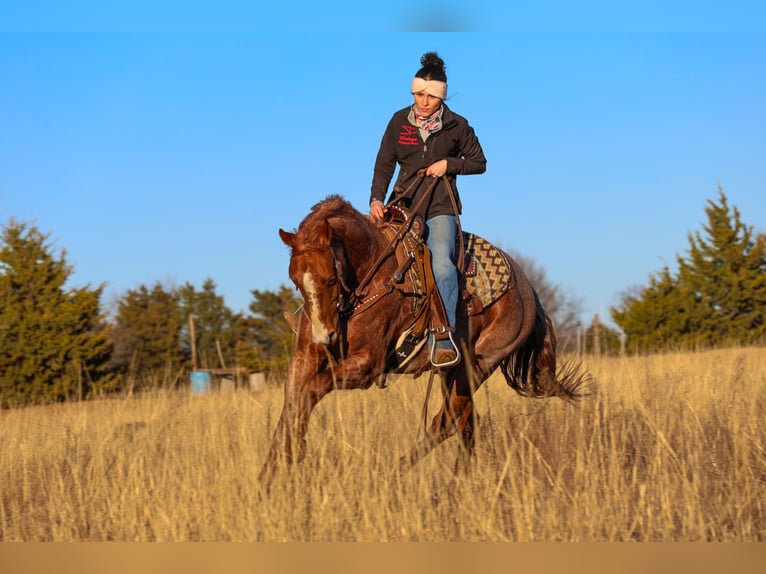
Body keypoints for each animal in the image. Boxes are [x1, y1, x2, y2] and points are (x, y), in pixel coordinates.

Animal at [259, 193, 588, 487]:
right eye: (295, 281)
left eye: (330, 278)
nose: (324, 335)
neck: (372, 272)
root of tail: (528, 290)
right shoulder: (305, 356)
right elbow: (292, 400)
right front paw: (268, 474)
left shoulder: (366, 365)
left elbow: (311, 390)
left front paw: (294, 450)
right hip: (451, 373)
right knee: (466, 424)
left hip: (476, 367)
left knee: (446, 423)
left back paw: (397, 476)